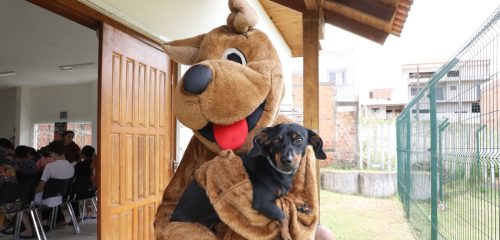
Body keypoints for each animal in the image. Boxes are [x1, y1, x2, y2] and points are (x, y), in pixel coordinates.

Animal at [171, 124, 328, 238]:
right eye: (276, 140)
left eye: (299, 140)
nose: (287, 160)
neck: (275, 169)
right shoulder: (262, 202)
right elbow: (283, 216)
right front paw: (287, 235)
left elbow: (287, 199)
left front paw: (301, 205)